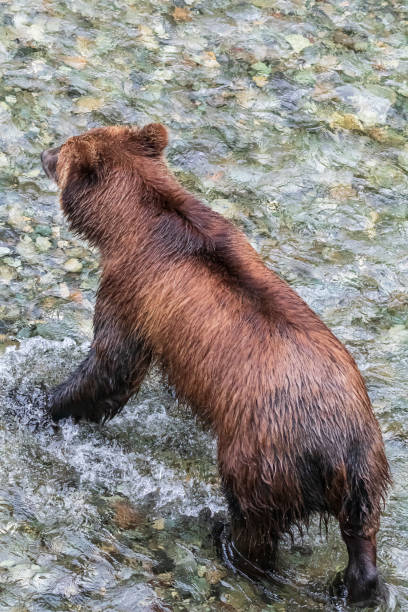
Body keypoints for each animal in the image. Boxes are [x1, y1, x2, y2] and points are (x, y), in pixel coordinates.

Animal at [41, 124, 392, 604]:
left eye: (64, 148)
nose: (43, 153)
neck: (131, 223)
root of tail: (338, 450)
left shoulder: (130, 291)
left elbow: (110, 368)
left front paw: (41, 401)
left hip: (261, 456)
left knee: (254, 522)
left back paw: (225, 538)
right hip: (368, 465)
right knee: (361, 533)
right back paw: (351, 583)